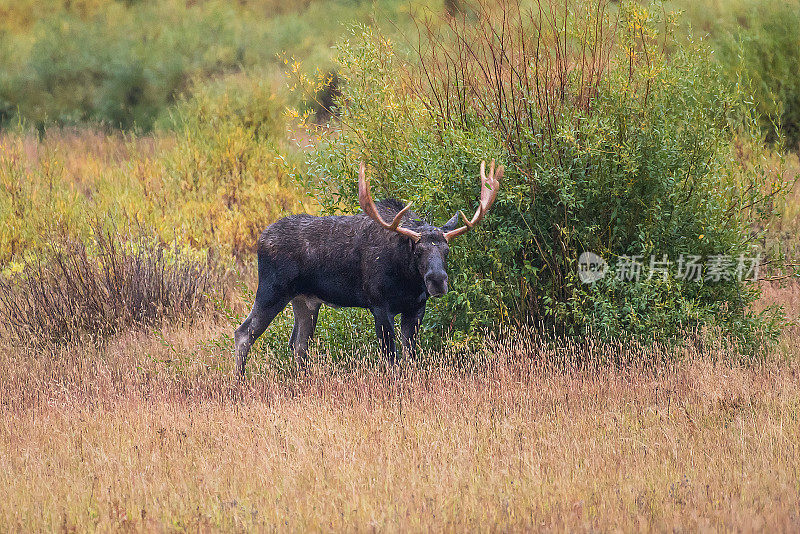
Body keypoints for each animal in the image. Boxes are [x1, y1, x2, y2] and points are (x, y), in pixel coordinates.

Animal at [234, 161, 504, 374]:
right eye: (417, 251)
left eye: (447, 250)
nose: (437, 281)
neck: (406, 279)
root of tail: (261, 239)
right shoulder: (379, 305)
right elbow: (391, 359)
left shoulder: (416, 308)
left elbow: (411, 358)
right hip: (271, 291)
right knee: (243, 334)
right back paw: (240, 383)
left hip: (305, 301)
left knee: (298, 345)